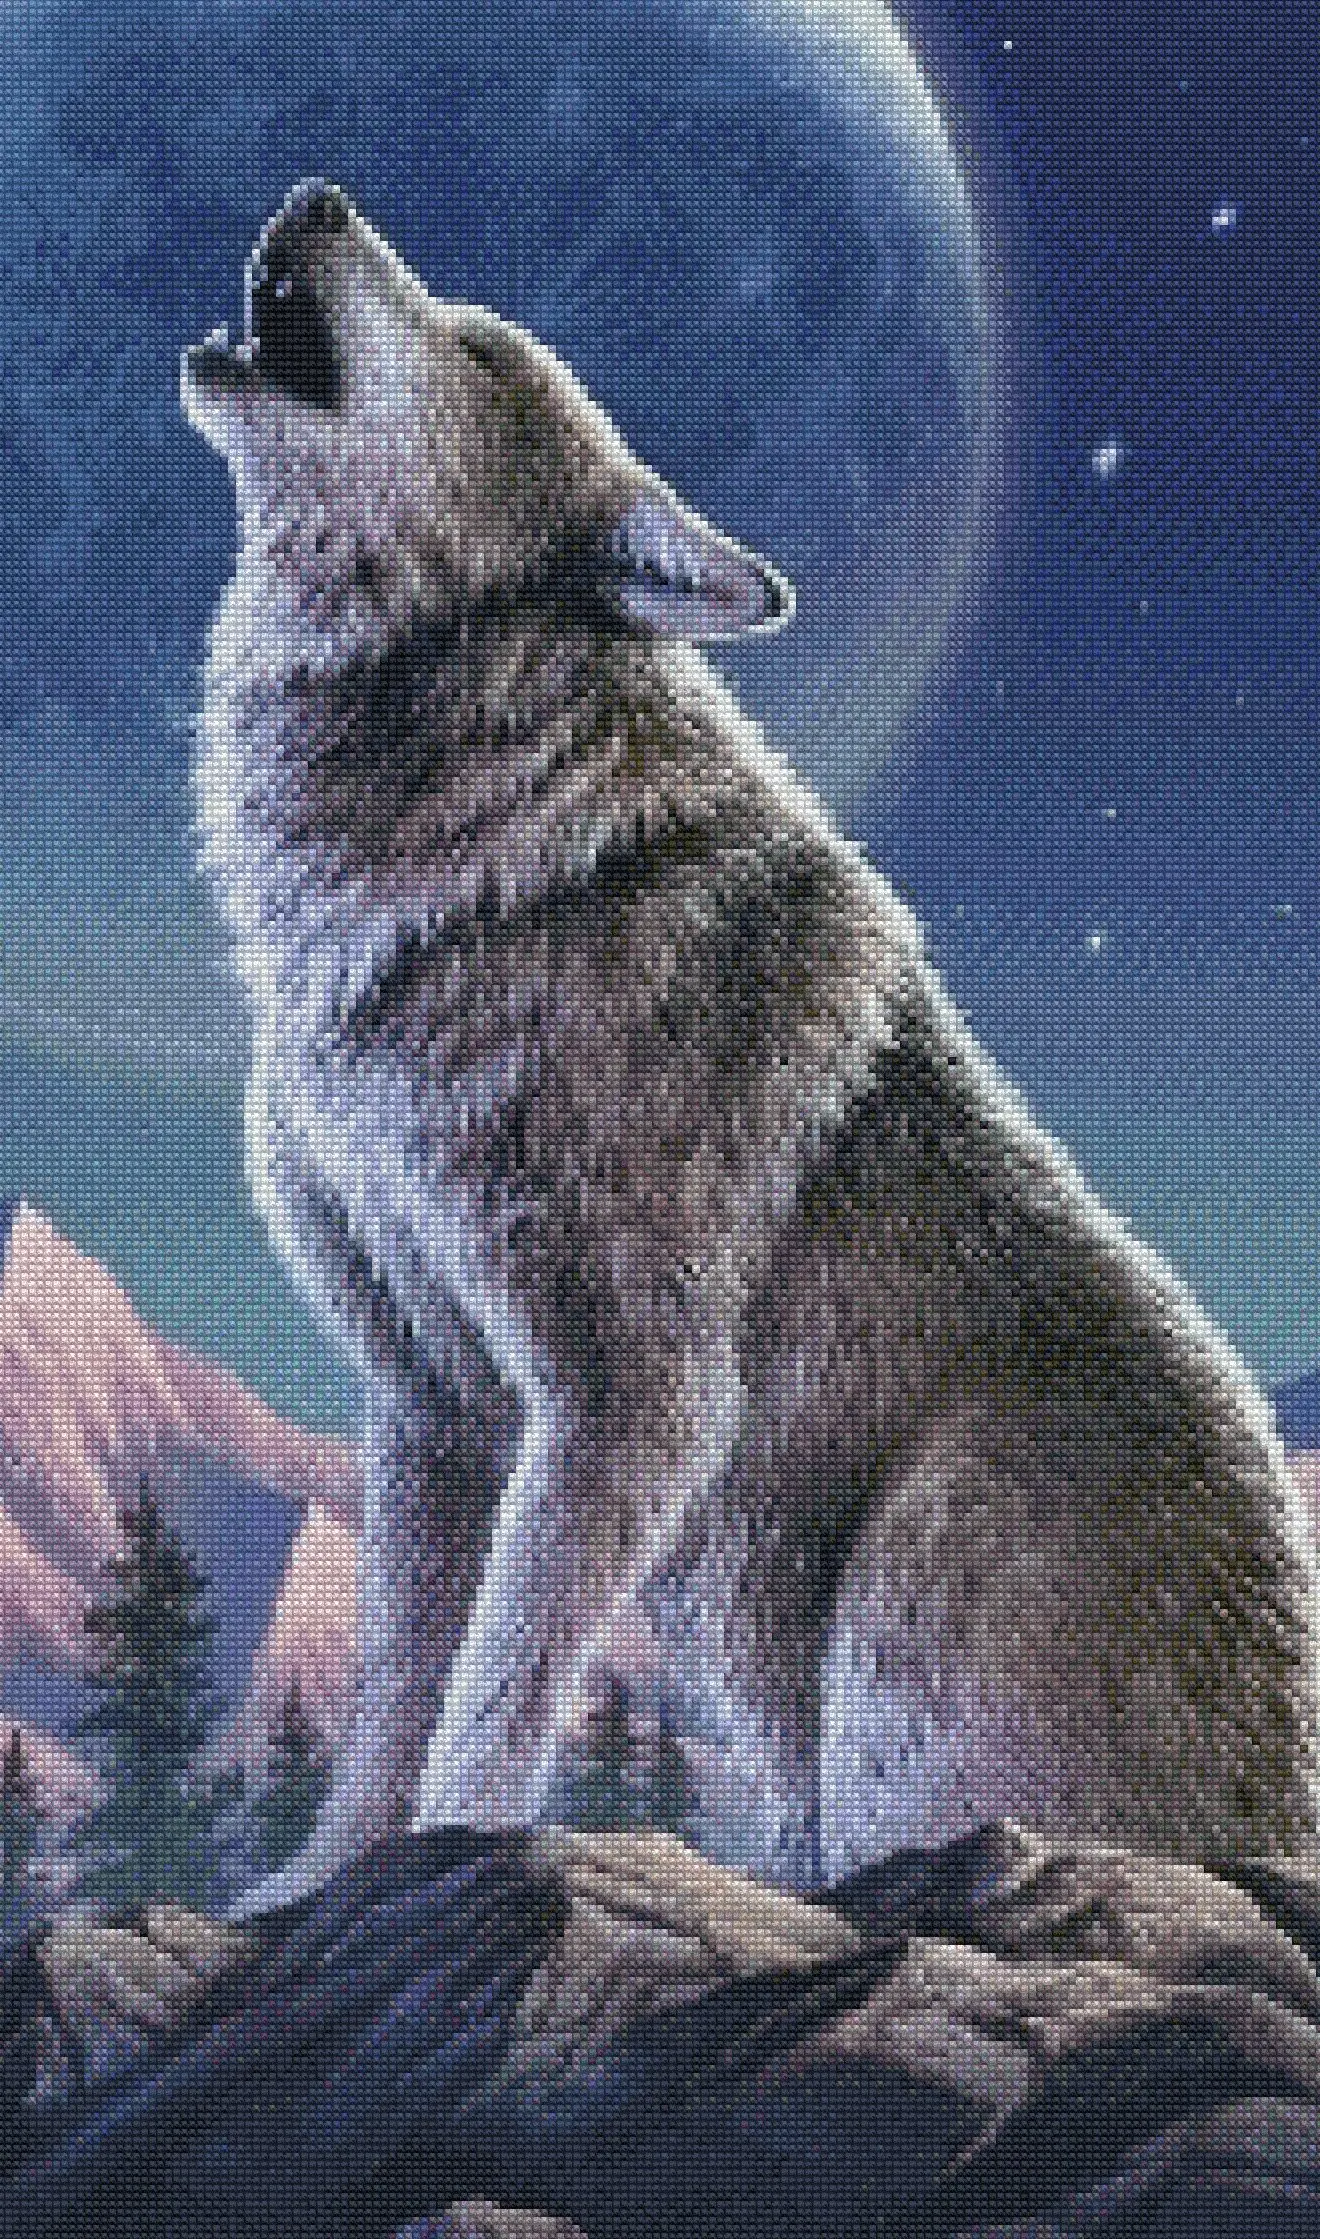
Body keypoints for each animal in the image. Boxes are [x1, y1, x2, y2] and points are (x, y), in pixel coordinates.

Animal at [182, 180, 1318, 1914]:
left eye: (478, 344)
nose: (316, 194)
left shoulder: (629, 1395)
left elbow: (498, 1686)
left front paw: (450, 1852)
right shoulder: (432, 1394)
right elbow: (394, 1689)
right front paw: (314, 1888)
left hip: (911, 1590)